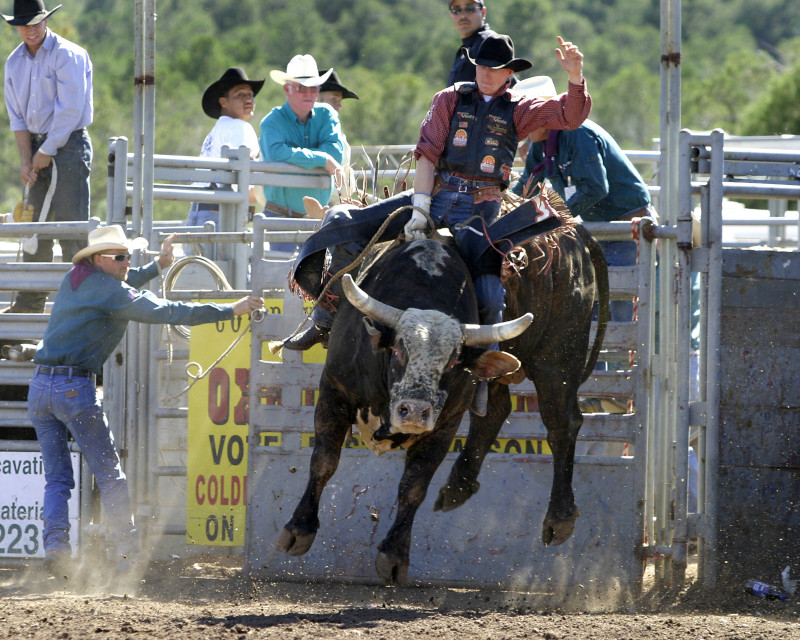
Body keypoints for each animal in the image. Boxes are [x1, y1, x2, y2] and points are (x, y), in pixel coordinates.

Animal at [278, 225, 608, 584]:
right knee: (497, 411)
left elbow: (414, 485)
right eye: (398, 350)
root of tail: (577, 233)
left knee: (562, 423)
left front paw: (394, 555)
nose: (414, 411)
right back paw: (457, 487)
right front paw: (299, 530)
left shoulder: (446, 421)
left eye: (452, 363)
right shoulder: (334, 390)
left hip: (558, 359)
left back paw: (559, 517)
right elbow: (324, 460)